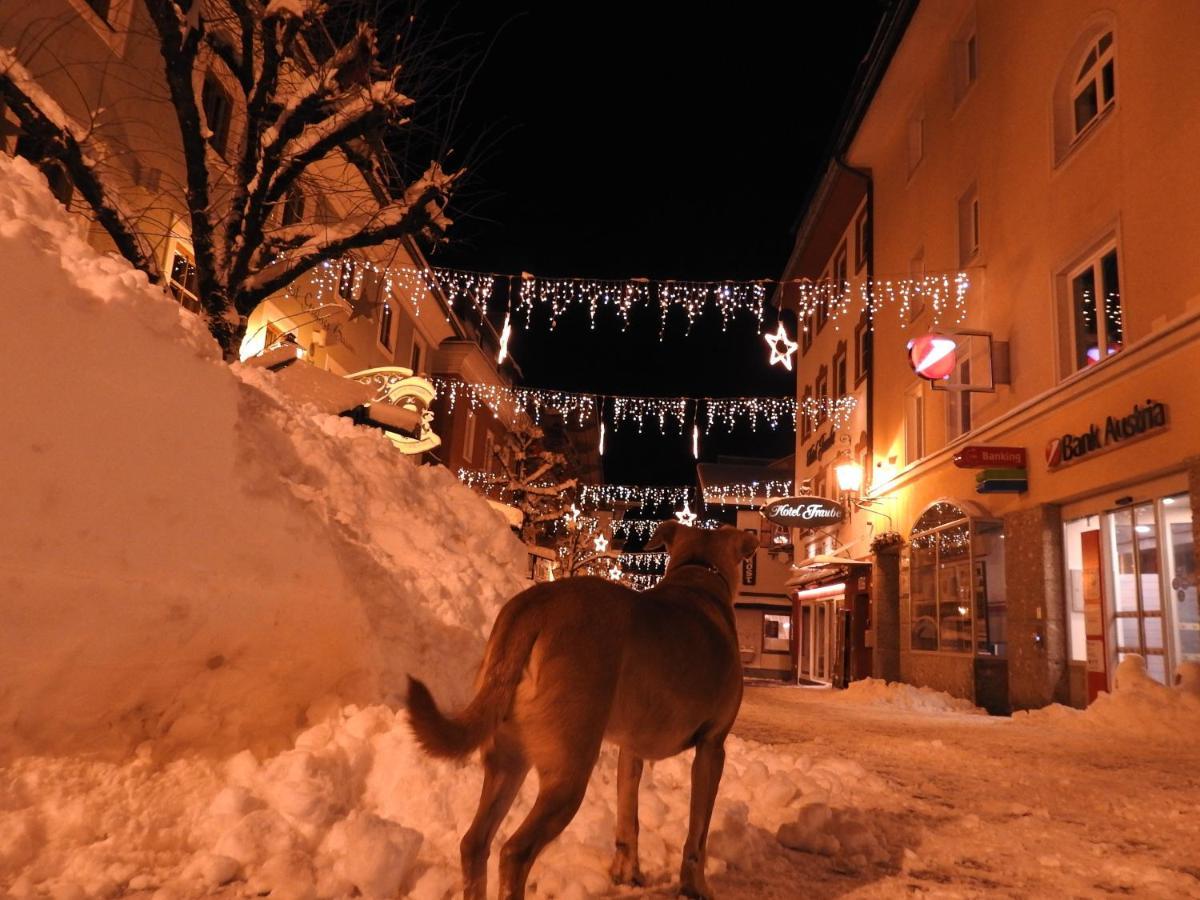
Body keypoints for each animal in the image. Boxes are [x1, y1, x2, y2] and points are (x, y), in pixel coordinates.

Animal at [408, 520, 753, 900]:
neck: (698, 573)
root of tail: (535, 606)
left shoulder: (630, 752)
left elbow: (628, 820)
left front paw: (627, 874)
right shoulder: (712, 749)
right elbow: (698, 835)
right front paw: (695, 887)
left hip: (508, 760)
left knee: (474, 843)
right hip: (568, 774)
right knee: (515, 852)